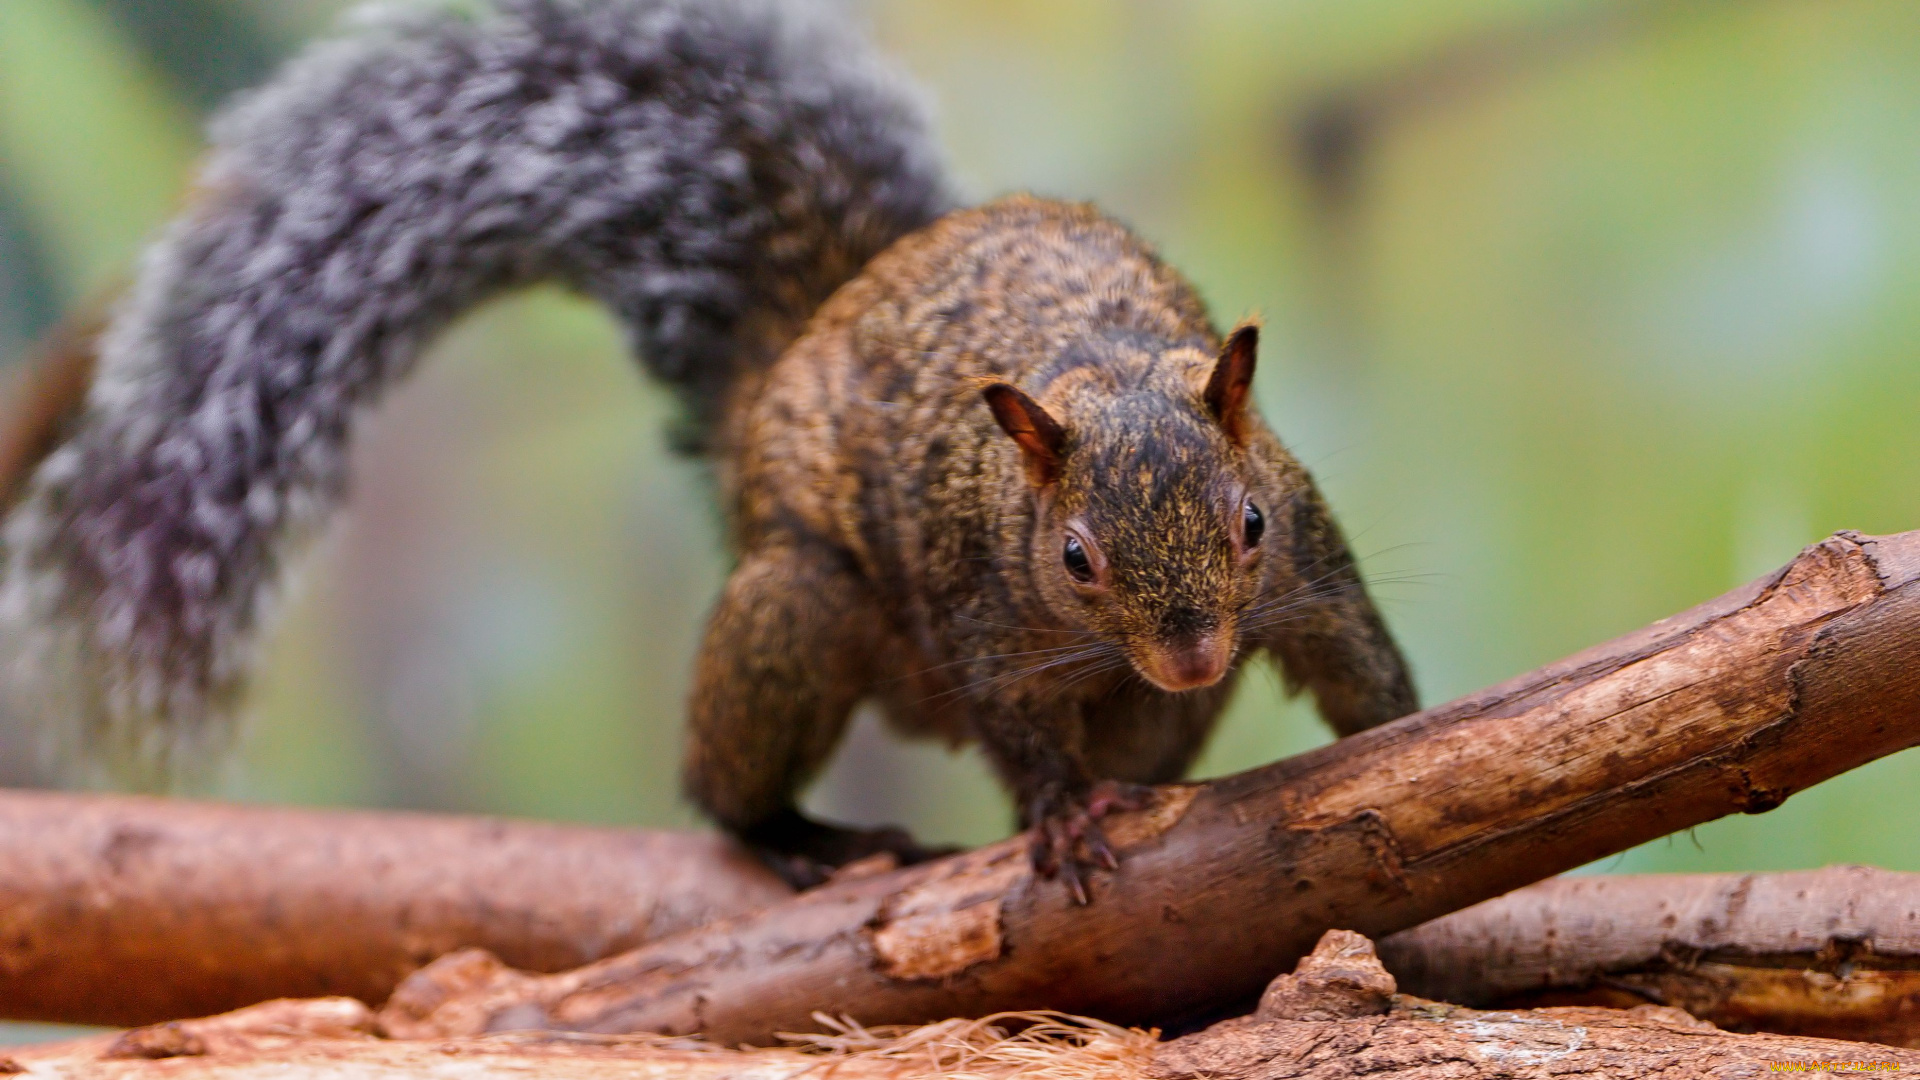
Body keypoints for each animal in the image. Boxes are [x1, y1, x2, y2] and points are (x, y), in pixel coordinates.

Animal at [0, 0, 1417, 899]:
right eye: (1073, 558)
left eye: (1244, 524)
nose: (1190, 653)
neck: (1104, 365)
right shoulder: (976, 601)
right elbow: (1015, 721)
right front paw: (1061, 817)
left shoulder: (1307, 554)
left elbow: (1355, 655)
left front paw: (1417, 740)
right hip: (798, 608)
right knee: (724, 780)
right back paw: (803, 836)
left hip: (1151, 716)